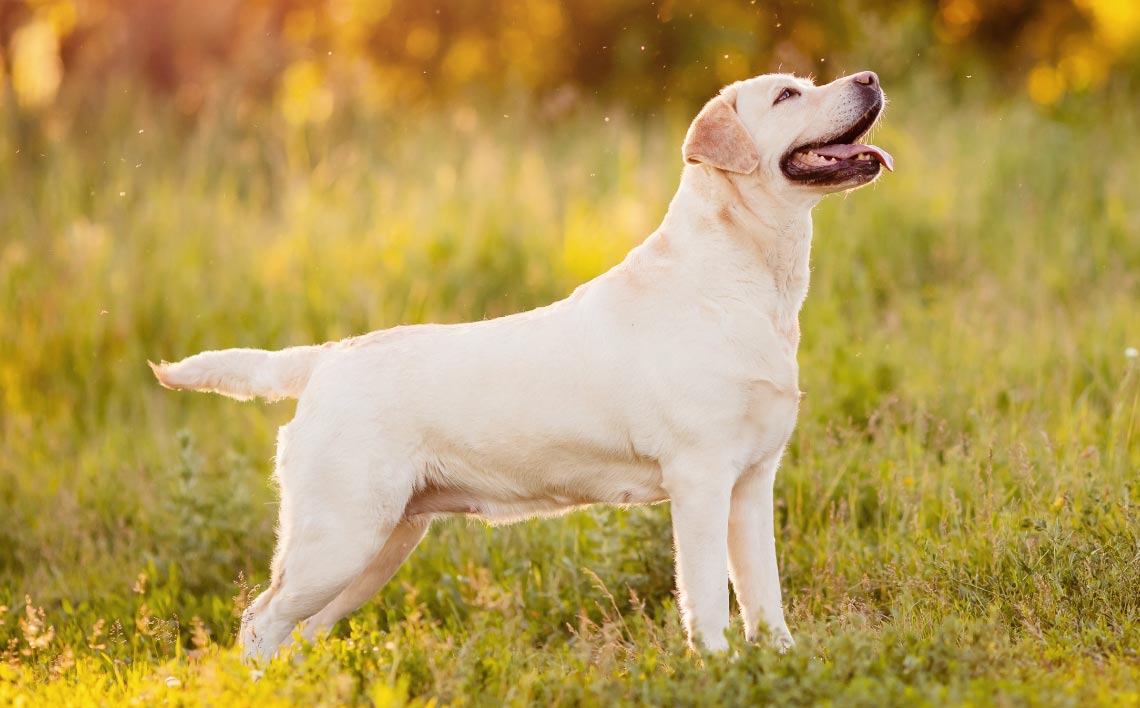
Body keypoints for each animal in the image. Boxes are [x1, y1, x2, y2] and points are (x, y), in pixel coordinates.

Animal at [151, 68, 893, 661]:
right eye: (787, 95)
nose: (870, 78)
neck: (747, 278)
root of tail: (324, 360)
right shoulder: (701, 479)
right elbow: (709, 596)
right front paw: (716, 667)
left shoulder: (752, 483)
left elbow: (764, 596)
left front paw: (783, 661)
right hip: (340, 536)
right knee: (260, 621)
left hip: (380, 544)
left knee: (297, 630)